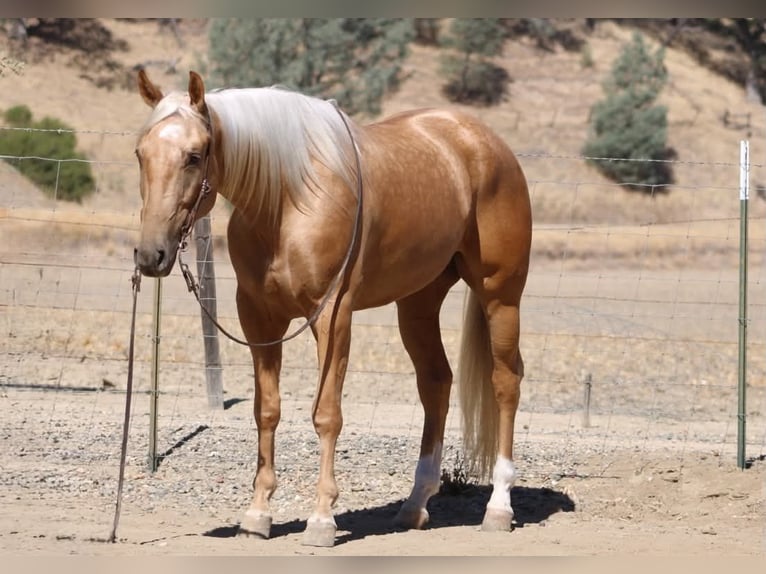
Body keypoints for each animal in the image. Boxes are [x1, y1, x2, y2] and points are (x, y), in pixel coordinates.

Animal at [133, 70, 532, 547]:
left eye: (194, 156)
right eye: (141, 153)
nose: (150, 254)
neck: (288, 202)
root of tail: (485, 143)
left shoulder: (332, 316)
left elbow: (326, 414)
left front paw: (322, 519)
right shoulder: (259, 319)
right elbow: (266, 411)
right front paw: (258, 514)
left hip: (501, 295)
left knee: (505, 382)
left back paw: (499, 507)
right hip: (417, 304)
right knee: (436, 382)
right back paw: (414, 505)